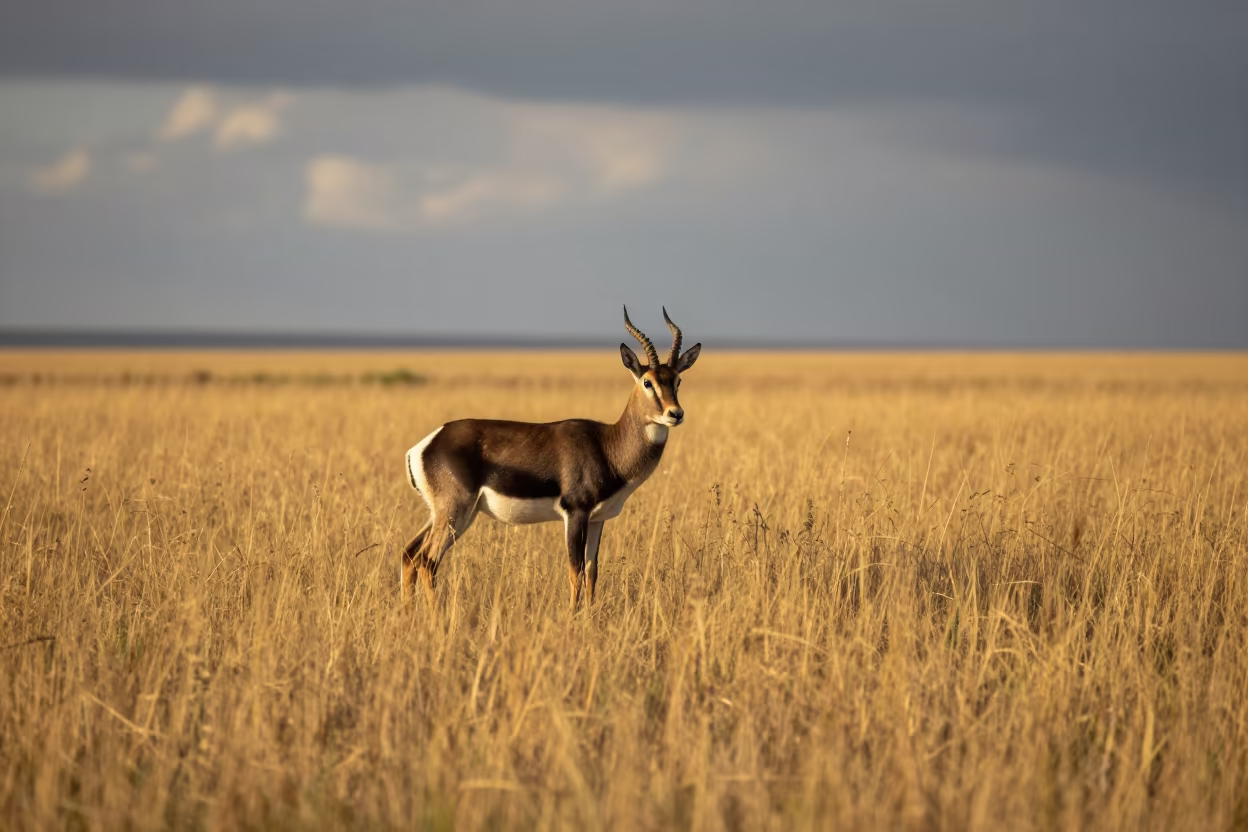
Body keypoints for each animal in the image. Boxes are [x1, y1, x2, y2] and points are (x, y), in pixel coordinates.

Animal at [401, 307, 701, 609]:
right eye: (647, 381)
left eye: (677, 380)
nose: (675, 414)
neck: (607, 446)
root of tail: (424, 445)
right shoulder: (575, 513)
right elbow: (575, 572)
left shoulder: (598, 519)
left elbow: (592, 572)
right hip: (455, 512)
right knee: (427, 560)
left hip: (446, 514)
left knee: (409, 554)